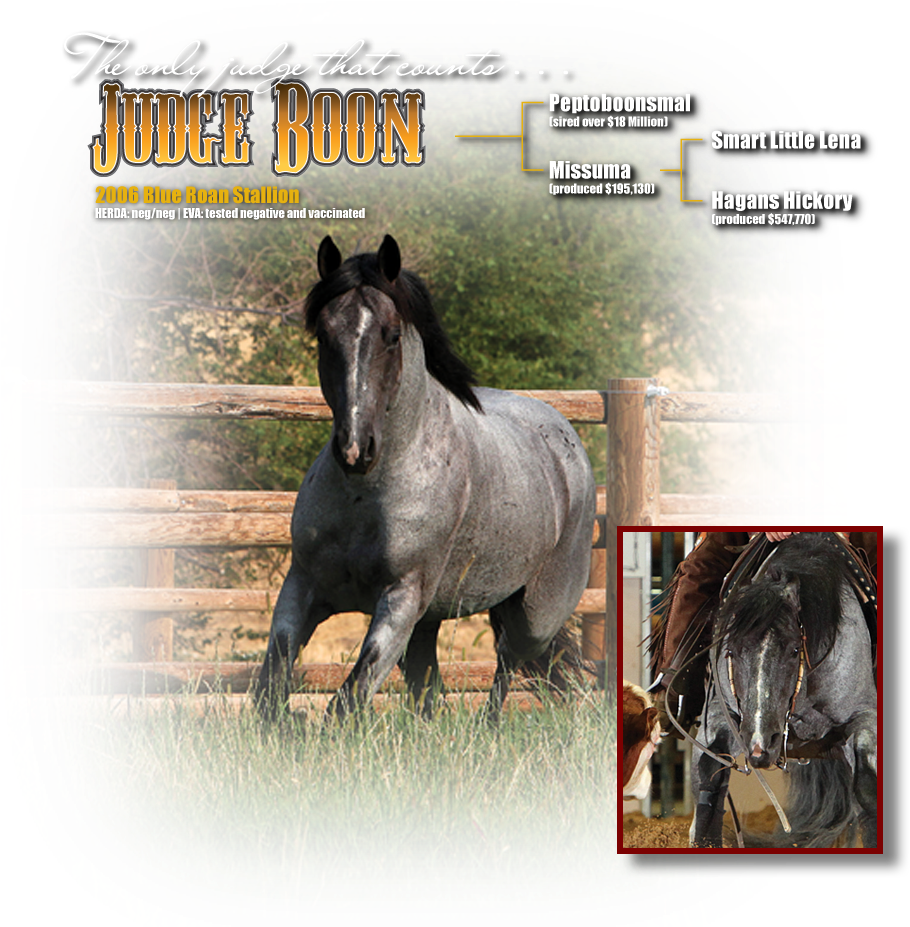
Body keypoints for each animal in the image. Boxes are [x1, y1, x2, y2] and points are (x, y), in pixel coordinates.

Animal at [254, 234, 596, 723]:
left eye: (392, 335)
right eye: (323, 334)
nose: (354, 449)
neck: (365, 496)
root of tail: (564, 439)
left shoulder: (401, 599)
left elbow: (350, 696)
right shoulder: (303, 584)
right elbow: (272, 685)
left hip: (534, 614)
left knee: (510, 658)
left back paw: (489, 725)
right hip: (432, 617)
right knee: (428, 684)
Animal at [688, 532, 878, 848]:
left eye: (793, 650)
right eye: (733, 650)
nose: (760, 743)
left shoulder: (865, 717)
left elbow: (867, 788)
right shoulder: (719, 714)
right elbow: (710, 774)